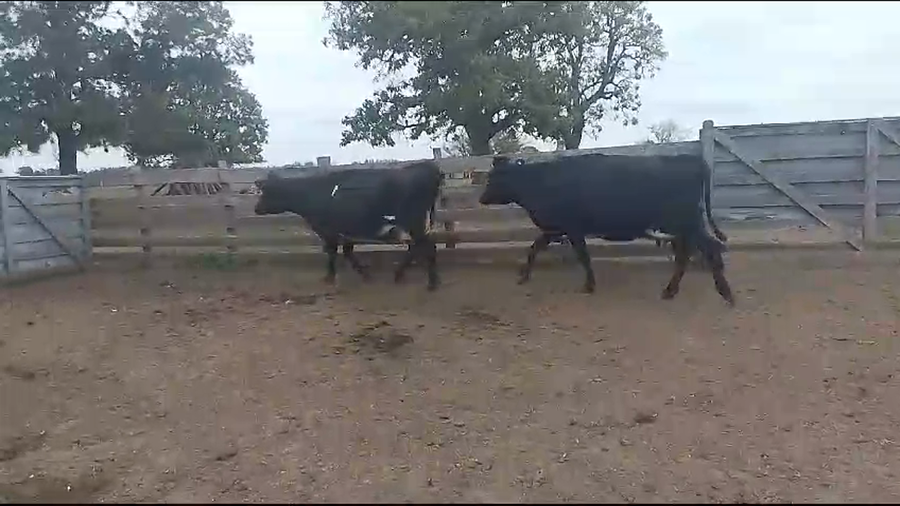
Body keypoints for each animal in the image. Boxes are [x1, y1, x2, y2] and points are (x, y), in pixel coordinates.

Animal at [253, 161, 443, 291]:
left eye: (265, 192)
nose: (256, 208)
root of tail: (426, 167)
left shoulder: (329, 231)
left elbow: (332, 253)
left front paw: (329, 277)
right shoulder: (346, 230)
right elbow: (347, 252)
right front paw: (365, 274)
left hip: (414, 222)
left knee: (426, 247)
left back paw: (431, 284)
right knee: (418, 247)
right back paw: (402, 275)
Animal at [477, 153, 735, 306]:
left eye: (493, 177)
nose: (481, 198)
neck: (540, 181)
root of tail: (690, 158)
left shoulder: (573, 228)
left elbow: (583, 256)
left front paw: (589, 285)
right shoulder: (555, 229)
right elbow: (534, 248)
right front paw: (524, 276)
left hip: (685, 222)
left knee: (708, 249)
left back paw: (726, 294)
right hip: (680, 226)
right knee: (685, 254)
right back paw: (671, 291)